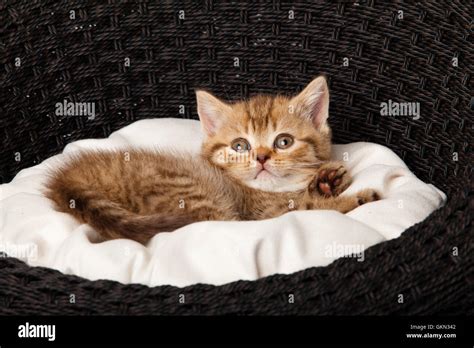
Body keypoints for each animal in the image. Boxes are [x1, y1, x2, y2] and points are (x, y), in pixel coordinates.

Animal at [44, 76, 378, 245]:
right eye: (240, 145)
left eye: (284, 142)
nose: (261, 157)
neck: (276, 190)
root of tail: (67, 178)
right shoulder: (265, 212)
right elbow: (310, 207)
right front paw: (354, 197)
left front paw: (328, 179)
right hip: (192, 193)